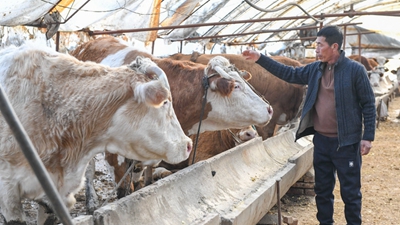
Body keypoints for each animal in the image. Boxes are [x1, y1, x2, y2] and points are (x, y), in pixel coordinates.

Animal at [70, 36, 274, 207]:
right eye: (236, 86)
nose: (269, 109)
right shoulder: (115, 158)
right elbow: (123, 192)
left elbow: (143, 181)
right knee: (88, 168)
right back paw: (91, 200)